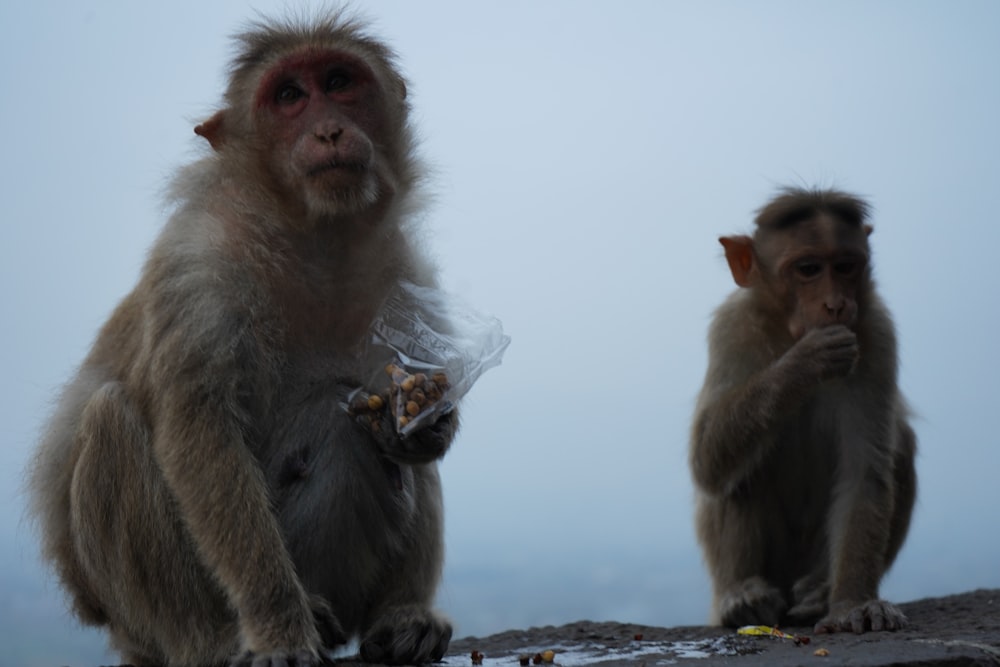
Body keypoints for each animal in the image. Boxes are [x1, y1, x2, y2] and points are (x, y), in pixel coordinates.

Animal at [27, 11, 458, 667]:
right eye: (288, 96)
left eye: (339, 82)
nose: (329, 130)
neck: (311, 234)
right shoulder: (199, 269)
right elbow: (202, 438)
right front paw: (280, 629)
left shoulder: (406, 272)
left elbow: (406, 398)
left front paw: (420, 424)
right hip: (133, 619)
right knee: (110, 422)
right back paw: (218, 639)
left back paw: (401, 617)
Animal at [692, 185, 916, 636]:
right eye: (808, 269)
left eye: (845, 267)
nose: (836, 305)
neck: (787, 331)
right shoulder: (732, 326)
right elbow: (706, 458)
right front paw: (801, 365)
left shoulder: (877, 332)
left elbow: (864, 472)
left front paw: (851, 605)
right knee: (738, 468)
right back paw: (742, 599)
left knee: (900, 443)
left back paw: (819, 593)